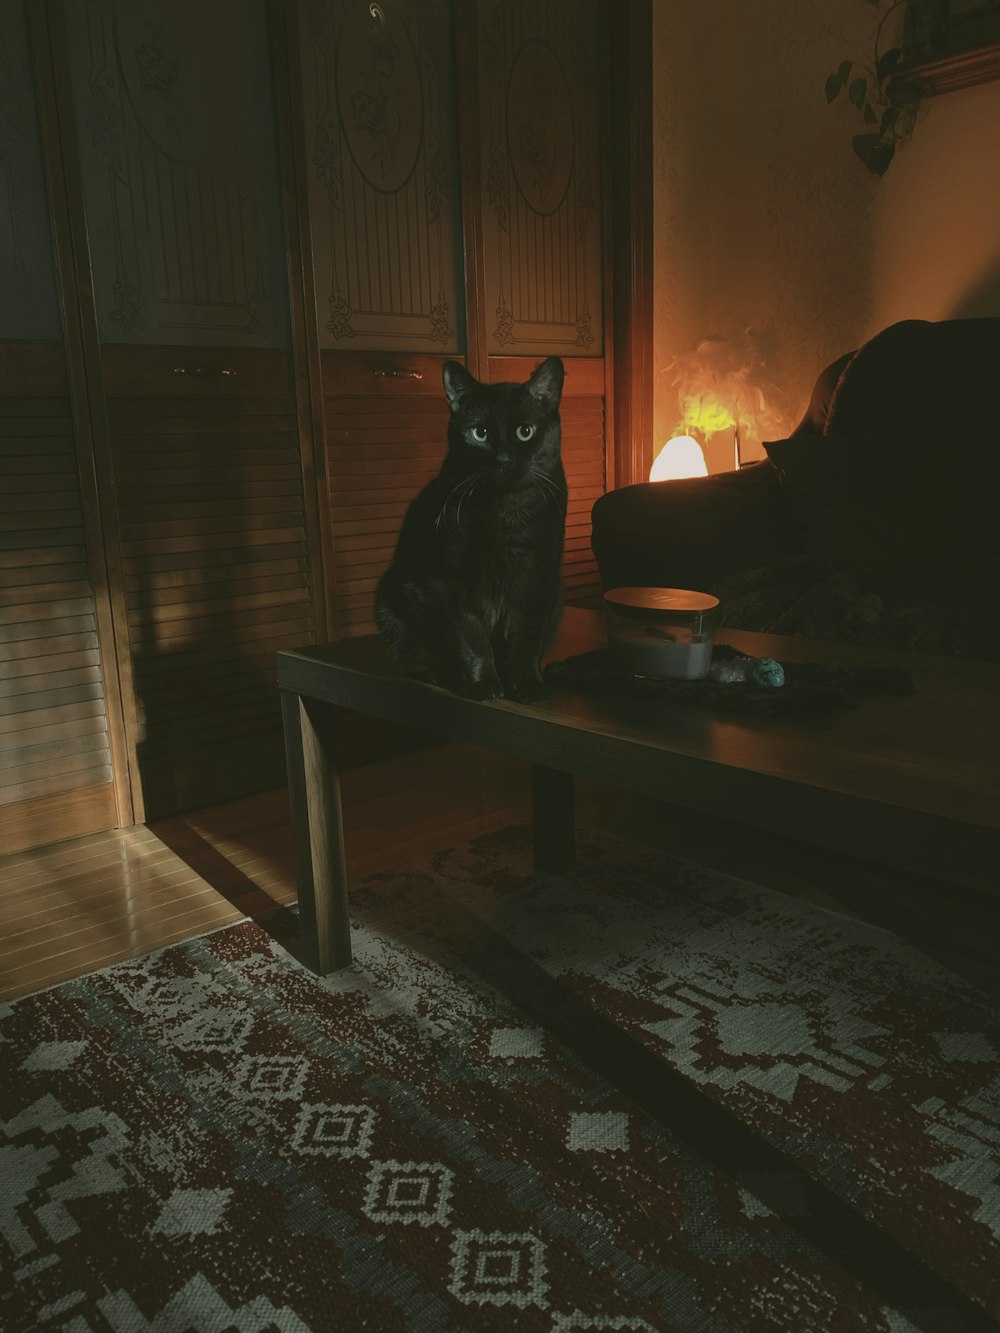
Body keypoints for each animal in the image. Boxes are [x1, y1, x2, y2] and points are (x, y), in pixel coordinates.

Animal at [376, 359, 568, 703]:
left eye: (525, 432)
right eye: (480, 433)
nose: (502, 459)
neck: (505, 512)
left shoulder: (539, 579)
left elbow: (527, 640)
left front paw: (528, 685)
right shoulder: (450, 583)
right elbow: (472, 639)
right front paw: (484, 685)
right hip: (389, 606)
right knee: (418, 661)